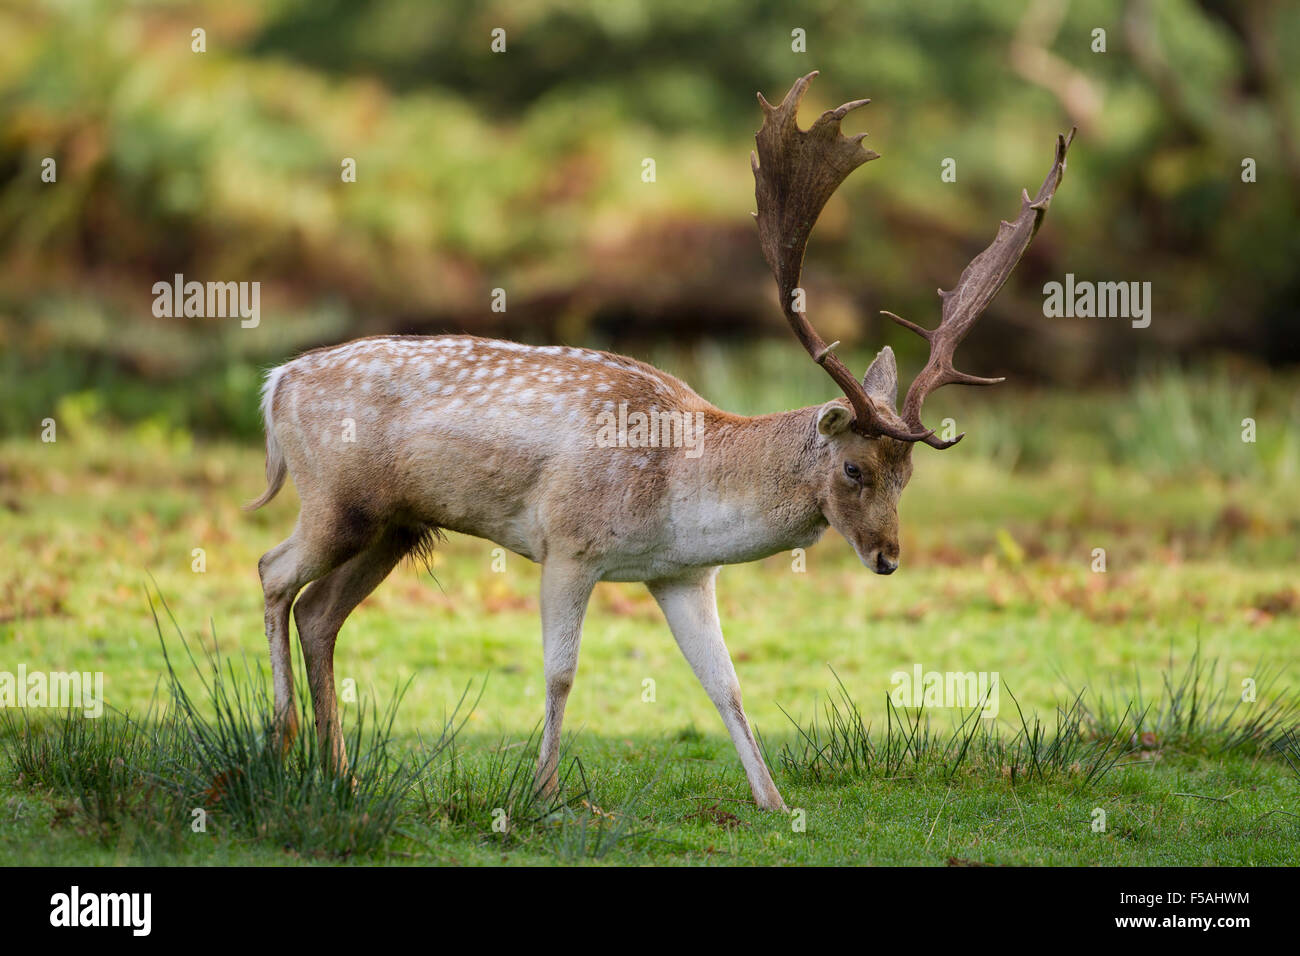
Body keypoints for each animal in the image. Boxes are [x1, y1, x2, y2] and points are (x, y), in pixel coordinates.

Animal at [248, 70, 1071, 811]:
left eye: (908, 476)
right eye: (853, 469)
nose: (888, 558)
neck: (680, 486)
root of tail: (276, 382)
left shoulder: (681, 574)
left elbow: (725, 683)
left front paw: (773, 801)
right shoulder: (568, 543)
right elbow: (561, 671)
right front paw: (542, 796)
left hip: (397, 524)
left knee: (319, 613)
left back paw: (340, 775)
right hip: (338, 500)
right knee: (272, 570)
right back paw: (281, 747)